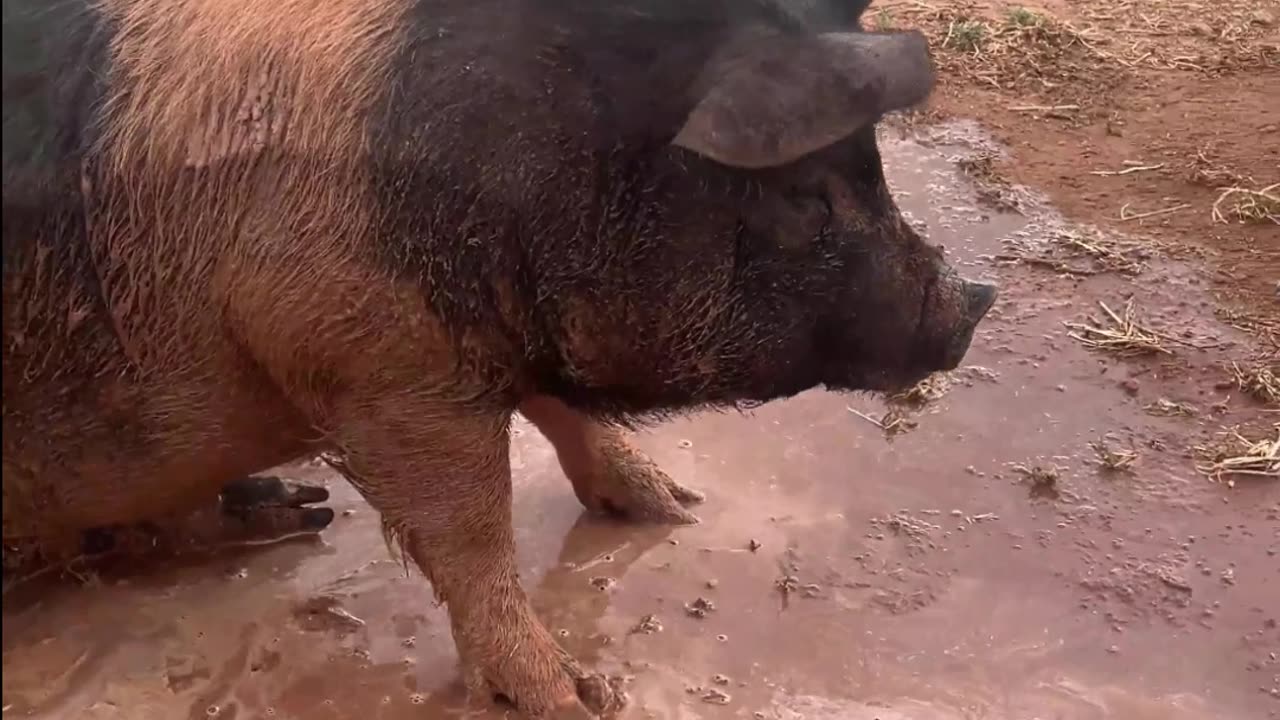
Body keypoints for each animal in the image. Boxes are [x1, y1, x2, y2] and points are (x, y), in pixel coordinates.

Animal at [2, 0, 998, 712]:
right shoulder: (380, 370)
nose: (971, 303)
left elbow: (567, 413)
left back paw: (298, 511)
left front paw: (675, 509)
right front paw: (574, 699)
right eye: (807, 197)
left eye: (873, 172)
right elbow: (471, 530)